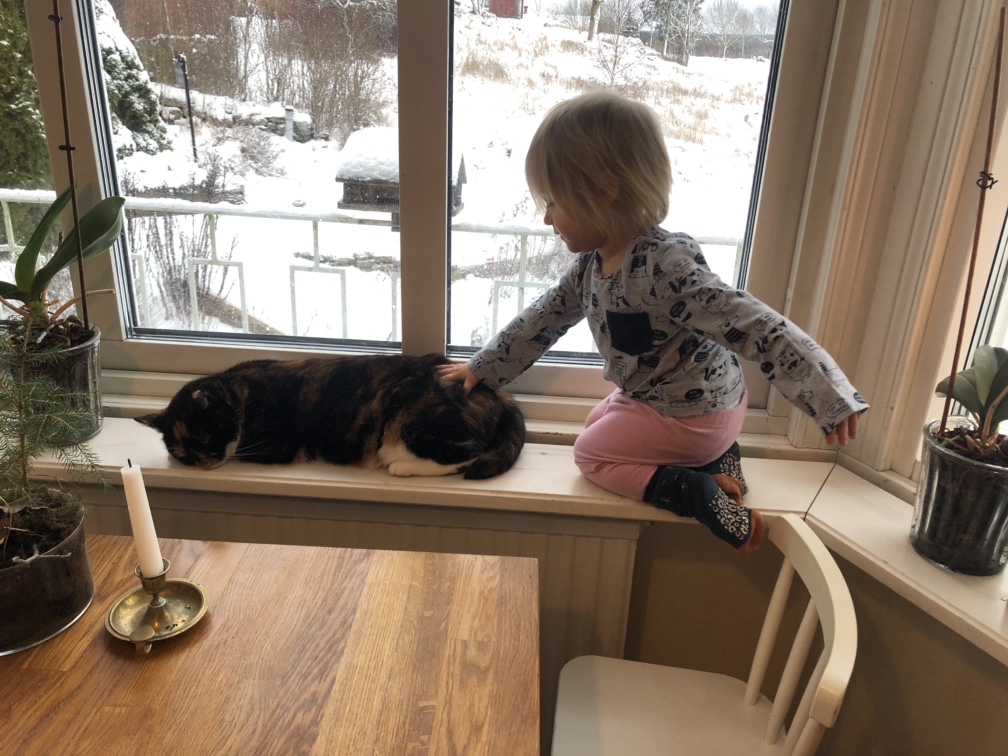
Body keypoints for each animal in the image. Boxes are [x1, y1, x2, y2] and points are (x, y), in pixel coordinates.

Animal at [135, 353, 525, 479]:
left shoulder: (274, 446)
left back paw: (400, 465)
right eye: (182, 455)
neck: (238, 391)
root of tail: (497, 392)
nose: (204, 463)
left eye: (202, 438)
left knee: (467, 454)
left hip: (411, 423)